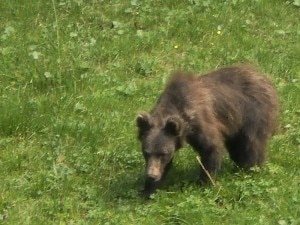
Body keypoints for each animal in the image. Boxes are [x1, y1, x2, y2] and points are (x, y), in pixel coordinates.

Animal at [137, 65, 280, 197]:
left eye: (163, 154)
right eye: (146, 152)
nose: (151, 175)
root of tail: (264, 77)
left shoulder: (202, 121)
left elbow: (210, 147)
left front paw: (204, 182)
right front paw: (148, 189)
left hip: (252, 113)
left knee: (251, 143)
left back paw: (250, 168)